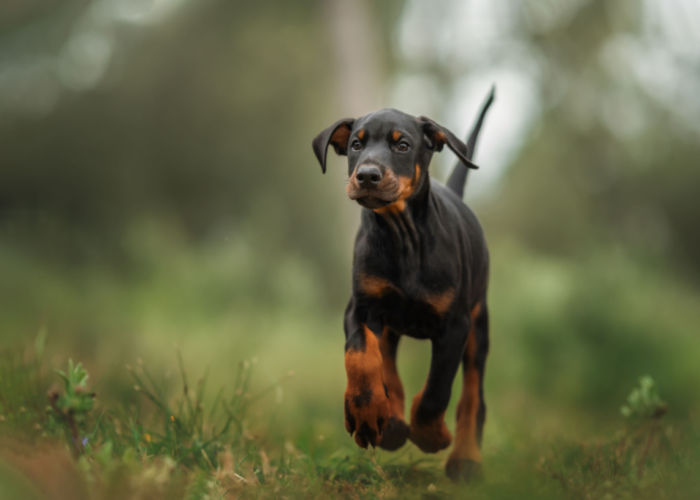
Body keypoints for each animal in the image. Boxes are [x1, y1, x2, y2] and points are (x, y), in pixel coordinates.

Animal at [308, 88, 494, 478]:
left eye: (403, 145)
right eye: (356, 145)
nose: (367, 175)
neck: (402, 235)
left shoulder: (455, 325)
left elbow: (437, 389)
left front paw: (430, 436)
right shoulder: (360, 308)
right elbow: (361, 357)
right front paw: (366, 414)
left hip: (479, 322)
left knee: (473, 393)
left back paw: (465, 458)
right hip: (390, 322)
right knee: (387, 364)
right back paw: (390, 423)